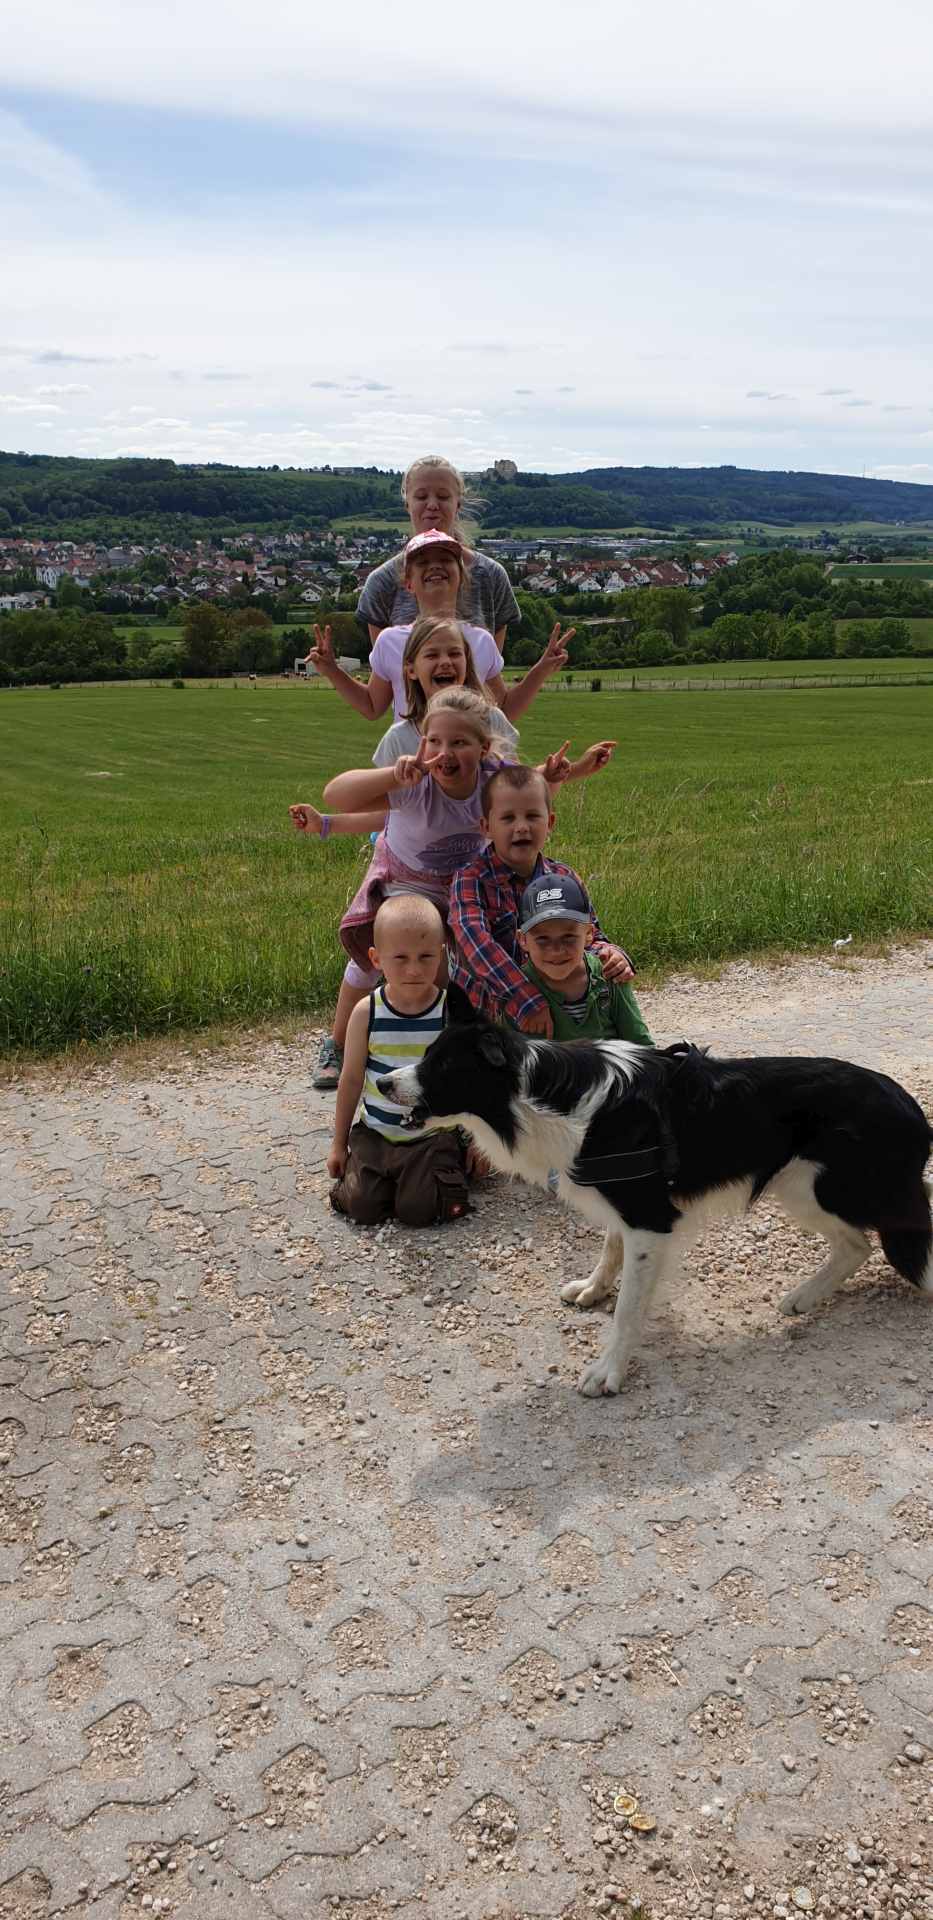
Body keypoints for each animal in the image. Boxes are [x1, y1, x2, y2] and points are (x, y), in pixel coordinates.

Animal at [377, 1022, 933, 1396]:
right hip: (801, 1189)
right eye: (426, 1055)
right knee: (856, 1244)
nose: (382, 1083)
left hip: (824, 1190)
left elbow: (628, 1308)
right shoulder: (624, 1207)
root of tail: (912, 1110)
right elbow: (609, 1250)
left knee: (871, 1242)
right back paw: (804, 1298)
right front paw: (593, 1289)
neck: (546, 1098)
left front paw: (608, 1371)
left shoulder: (649, 1219)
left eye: (442, 1065)